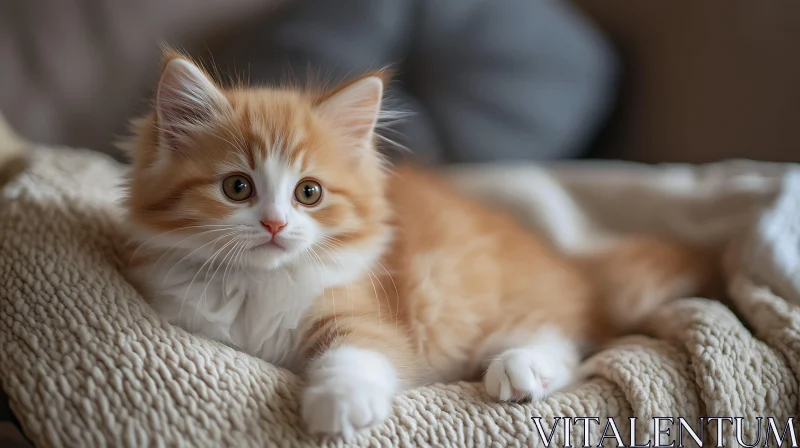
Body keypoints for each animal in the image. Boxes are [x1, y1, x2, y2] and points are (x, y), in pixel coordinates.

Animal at [120, 50, 720, 440]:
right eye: (237, 188)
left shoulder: (366, 312)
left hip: (473, 295)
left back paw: (520, 369)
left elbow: (355, 351)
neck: (258, 286)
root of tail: (568, 262)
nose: (273, 224)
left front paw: (339, 402)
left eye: (308, 193)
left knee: (569, 342)